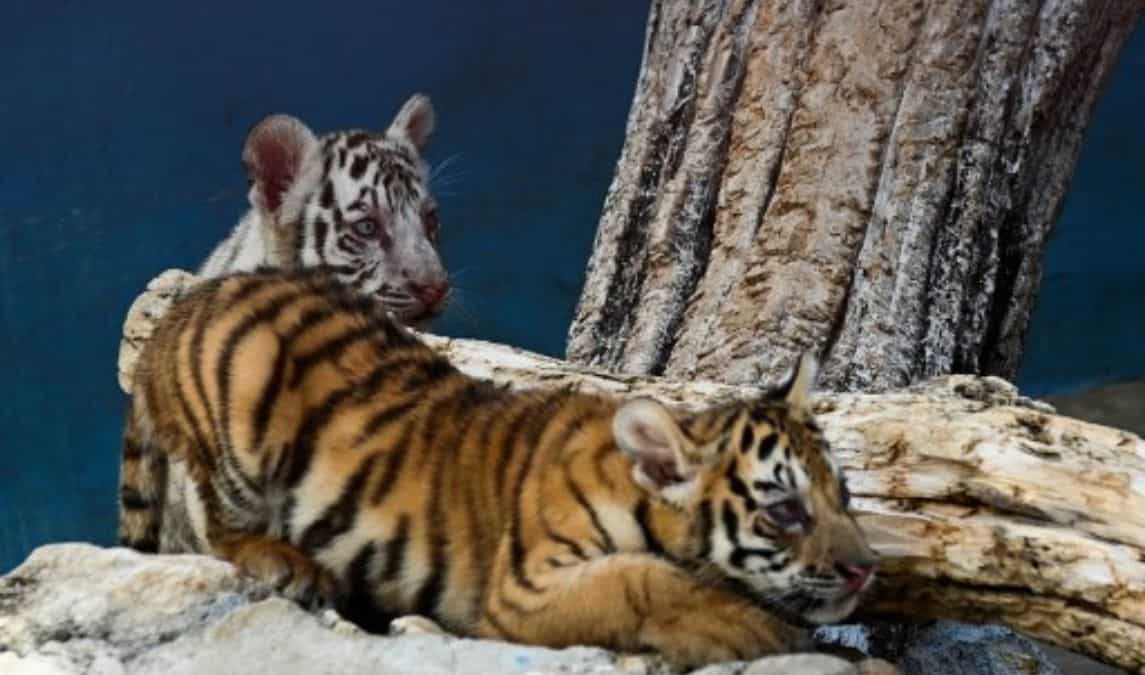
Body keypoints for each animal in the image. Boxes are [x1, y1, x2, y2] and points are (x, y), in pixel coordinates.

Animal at [118, 267, 877, 669]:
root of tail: (181, 307)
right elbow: (642, 579)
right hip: (237, 423)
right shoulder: (524, 589)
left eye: (843, 495)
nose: (867, 569)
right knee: (209, 529)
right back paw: (288, 563)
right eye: (785, 509)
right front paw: (755, 629)